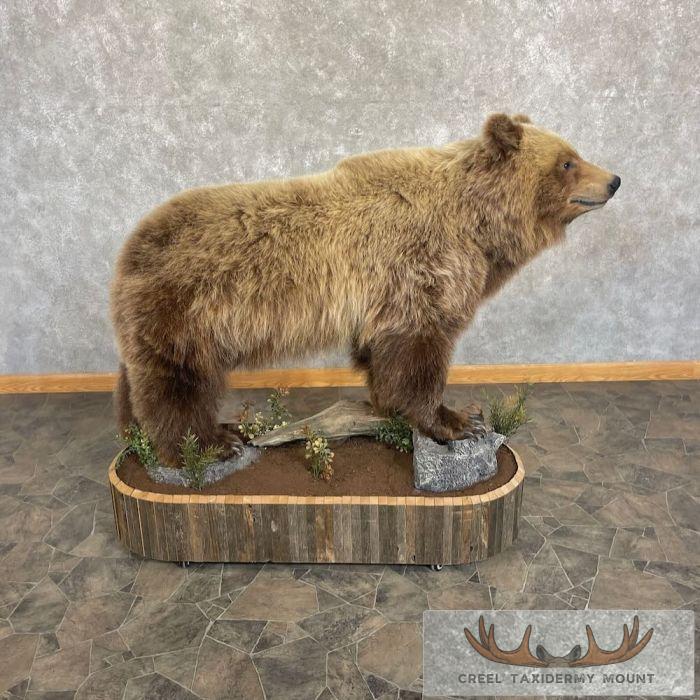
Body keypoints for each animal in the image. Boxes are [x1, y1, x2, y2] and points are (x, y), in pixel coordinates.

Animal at [111, 113, 620, 467]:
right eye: (567, 161)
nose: (613, 180)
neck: (477, 226)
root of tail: (129, 247)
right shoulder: (419, 268)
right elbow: (418, 350)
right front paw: (457, 421)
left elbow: (385, 357)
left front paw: (393, 407)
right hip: (188, 308)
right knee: (178, 380)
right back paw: (211, 443)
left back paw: (135, 432)